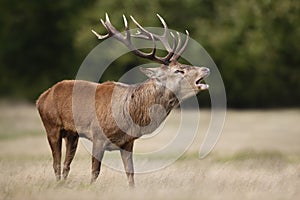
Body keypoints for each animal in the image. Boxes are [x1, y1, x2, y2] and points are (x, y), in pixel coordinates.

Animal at [36, 13, 210, 187]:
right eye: (179, 70)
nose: (206, 69)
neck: (130, 114)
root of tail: (42, 97)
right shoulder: (98, 136)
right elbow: (95, 172)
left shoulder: (128, 142)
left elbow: (130, 173)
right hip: (51, 125)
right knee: (56, 163)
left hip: (72, 134)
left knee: (66, 164)